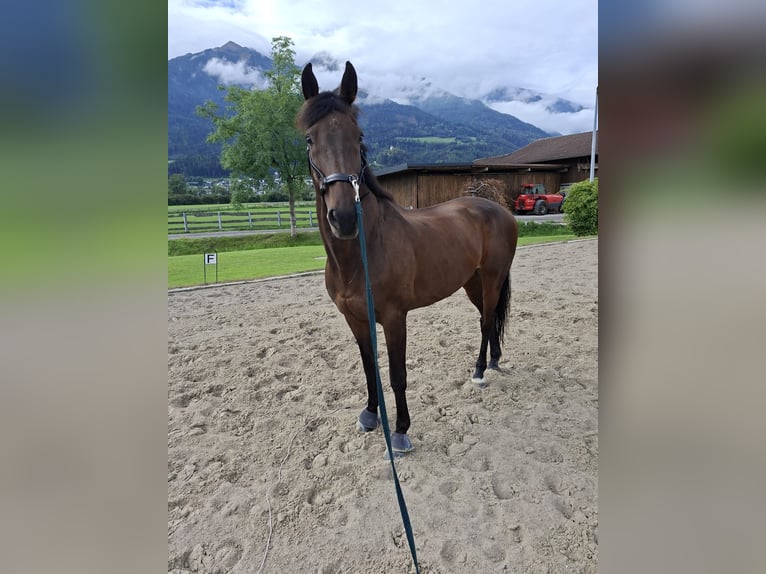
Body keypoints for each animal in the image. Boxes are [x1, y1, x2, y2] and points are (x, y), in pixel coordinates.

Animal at [297, 61, 518, 453]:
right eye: (310, 139)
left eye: (358, 136)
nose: (344, 218)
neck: (361, 253)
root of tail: (499, 209)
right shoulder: (355, 319)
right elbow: (369, 367)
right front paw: (371, 415)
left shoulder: (394, 317)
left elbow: (397, 374)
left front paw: (400, 431)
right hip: (472, 283)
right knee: (489, 318)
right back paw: (492, 362)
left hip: (492, 278)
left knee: (485, 321)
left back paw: (479, 372)